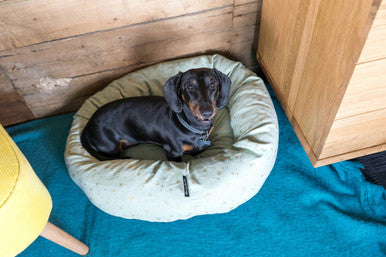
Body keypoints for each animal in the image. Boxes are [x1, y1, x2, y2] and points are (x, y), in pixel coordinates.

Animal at [80, 68, 231, 160]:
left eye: (213, 84)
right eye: (190, 87)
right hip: (112, 149)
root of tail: (88, 124)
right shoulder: (173, 153)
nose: (207, 112)